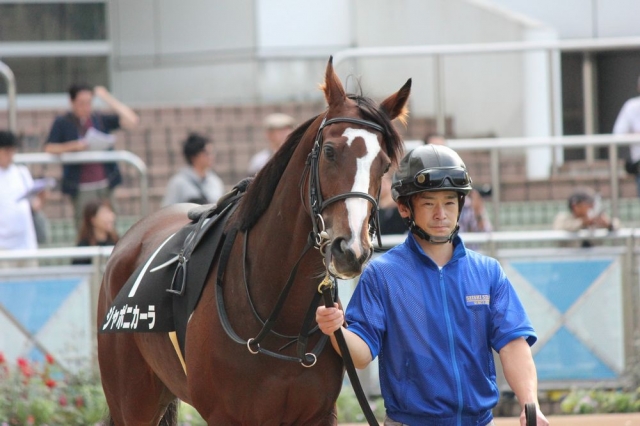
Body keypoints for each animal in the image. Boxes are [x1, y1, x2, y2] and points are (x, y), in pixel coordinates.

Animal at [97, 58, 412, 424]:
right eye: (330, 151)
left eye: (385, 165)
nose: (351, 250)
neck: (277, 316)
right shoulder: (226, 415)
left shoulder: (318, 414)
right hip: (132, 400)